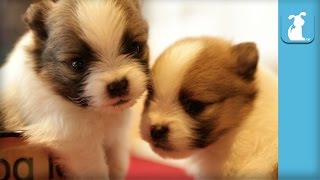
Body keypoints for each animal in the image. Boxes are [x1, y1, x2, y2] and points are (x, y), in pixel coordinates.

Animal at [0, 0, 149, 178]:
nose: (118, 85)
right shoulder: (75, 139)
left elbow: (117, 161)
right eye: (77, 64)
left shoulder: (116, 138)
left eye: (136, 48)